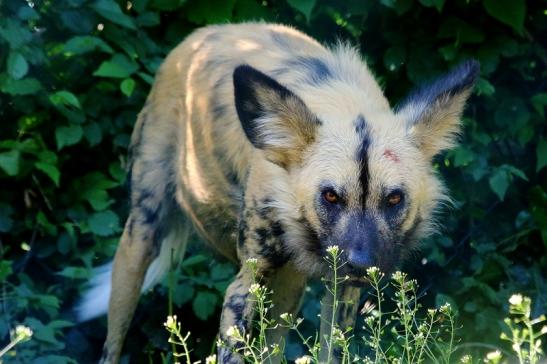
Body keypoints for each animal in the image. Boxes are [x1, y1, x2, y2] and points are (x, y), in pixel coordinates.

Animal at [77, 23, 480, 364]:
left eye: (394, 199)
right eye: (330, 196)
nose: (361, 262)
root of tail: (201, 34)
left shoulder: (342, 292)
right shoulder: (243, 287)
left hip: (288, 287)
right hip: (140, 241)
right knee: (113, 339)